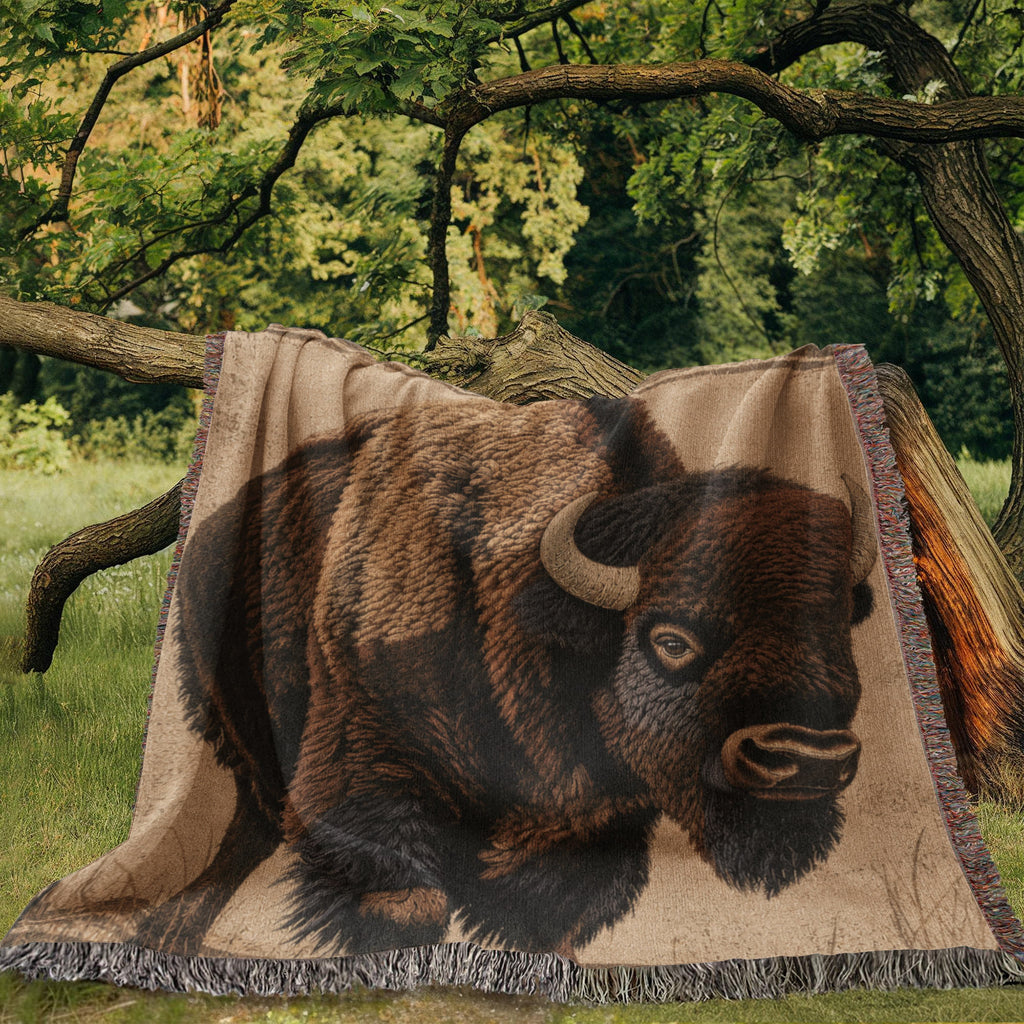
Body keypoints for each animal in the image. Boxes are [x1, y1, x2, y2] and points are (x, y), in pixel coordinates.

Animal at [157, 394, 876, 957]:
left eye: (838, 625)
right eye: (671, 641)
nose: (809, 757)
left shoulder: (588, 829)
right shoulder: (365, 773)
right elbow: (404, 903)